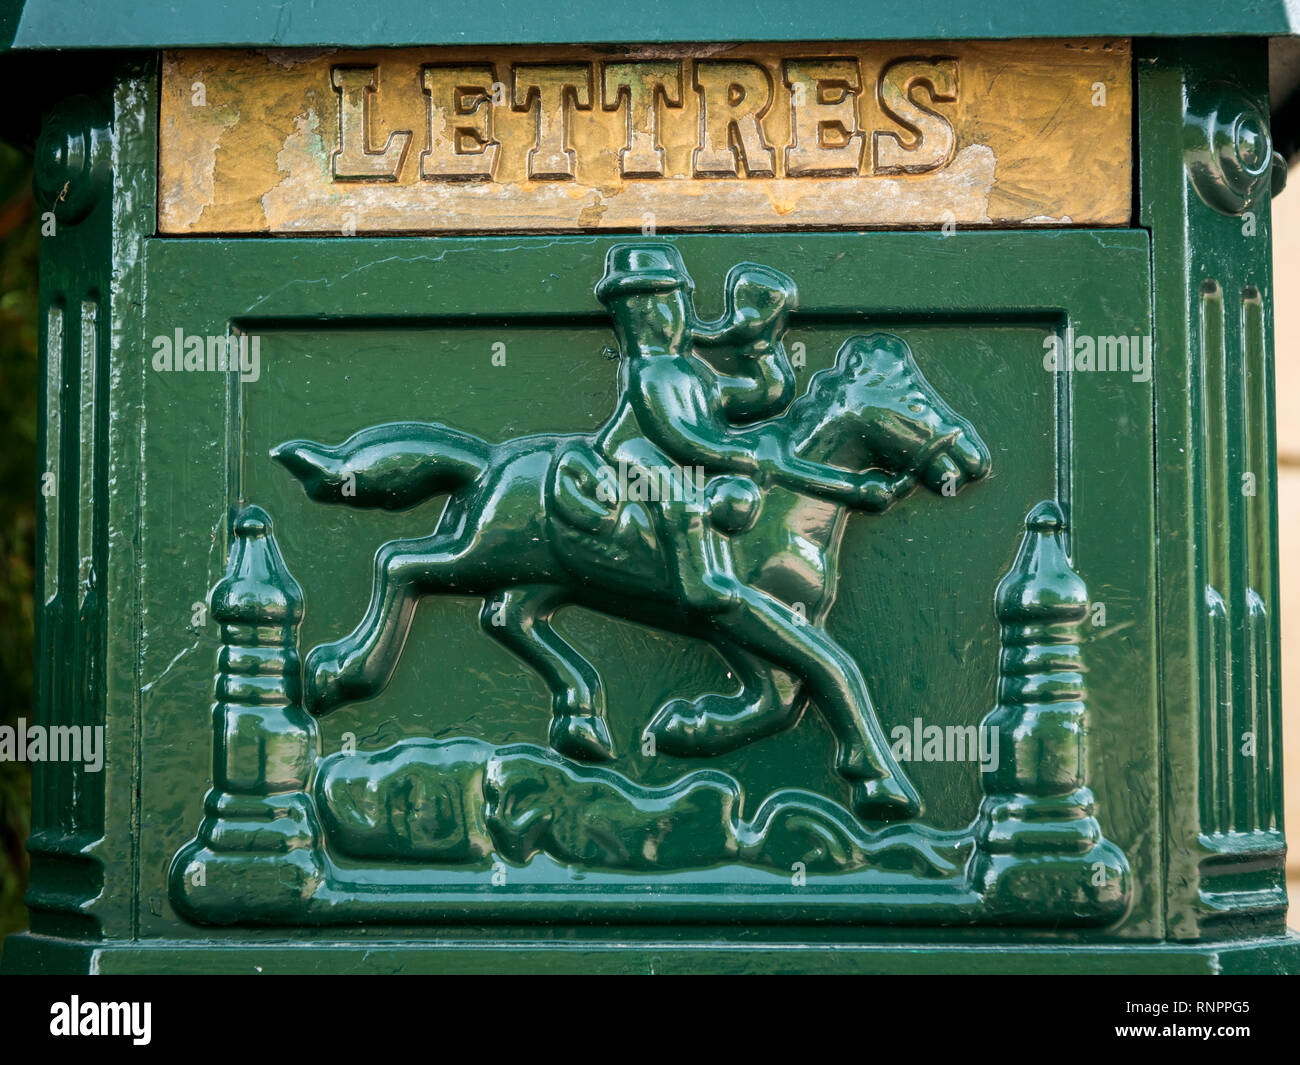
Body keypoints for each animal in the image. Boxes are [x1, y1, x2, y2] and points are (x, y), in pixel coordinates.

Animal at [271, 335, 982, 827]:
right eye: (914, 403)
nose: (974, 459)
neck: (786, 507)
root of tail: (490, 459)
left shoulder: (743, 624)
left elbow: (782, 696)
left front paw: (687, 728)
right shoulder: (742, 612)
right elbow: (835, 672)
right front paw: (885, 788)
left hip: (541, 575)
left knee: (505, 618)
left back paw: (582, 721)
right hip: (483, 552)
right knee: (399, 564)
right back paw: (345, 673)